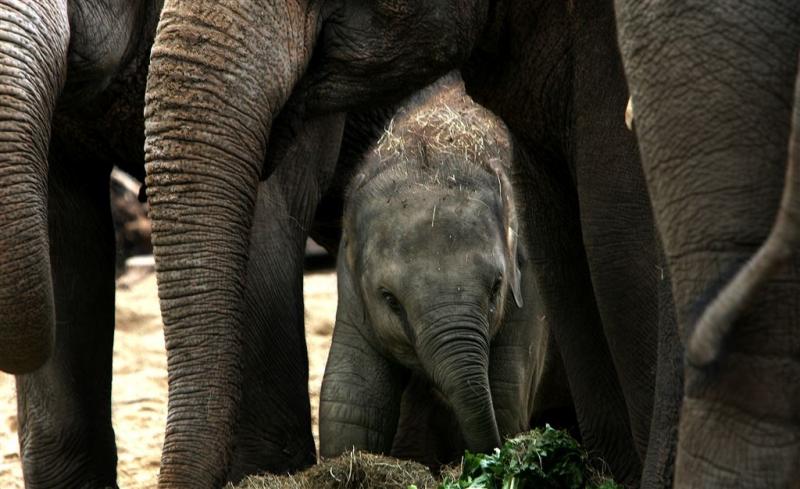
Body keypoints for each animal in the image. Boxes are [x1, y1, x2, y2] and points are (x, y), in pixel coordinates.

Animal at [318, 71, 568, 462]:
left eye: (497, 287)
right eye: (390, 299)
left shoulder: (529, 286)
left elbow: (504, 396)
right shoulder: (352, 288)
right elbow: (352, 402)